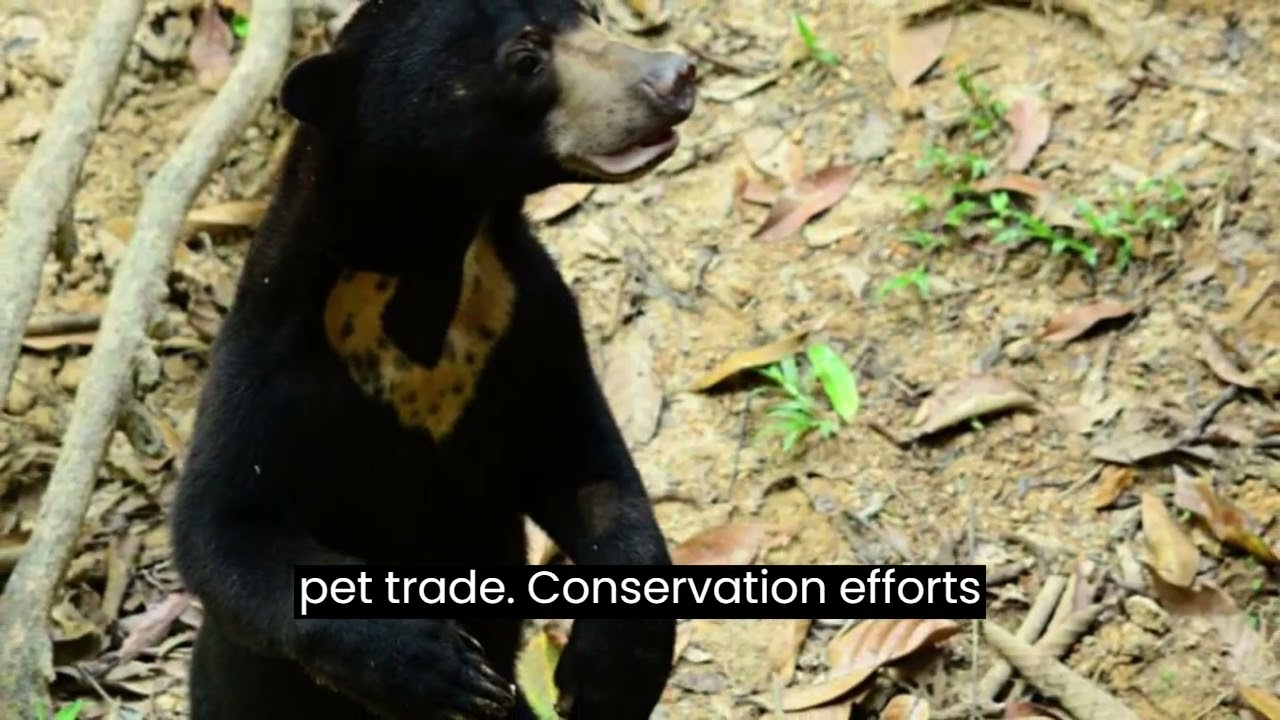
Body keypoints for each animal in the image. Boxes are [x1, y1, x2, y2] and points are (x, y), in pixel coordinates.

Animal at [167, 0, 697, 718]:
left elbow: (588, 468)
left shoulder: (531, 316)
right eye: (525, 59)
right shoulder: (268, 367)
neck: (434, 260)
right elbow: (221, 528)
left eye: (591, 13)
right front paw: (434, 664)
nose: (676, 75)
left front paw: (613, 668)